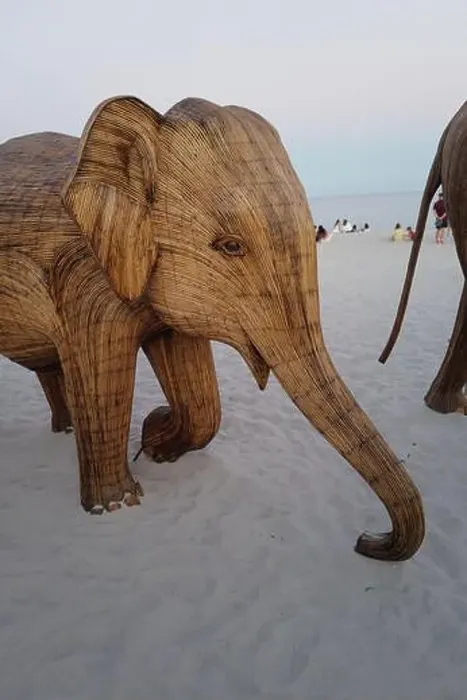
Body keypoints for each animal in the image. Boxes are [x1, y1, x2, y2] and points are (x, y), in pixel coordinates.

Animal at [0, 94, 425, 561]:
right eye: (231, 246)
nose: (368, 541)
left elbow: (199, 392)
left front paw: (157, 439)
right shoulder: (84, 280)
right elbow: (102, 376)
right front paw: (117, 504)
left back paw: (66, 428)